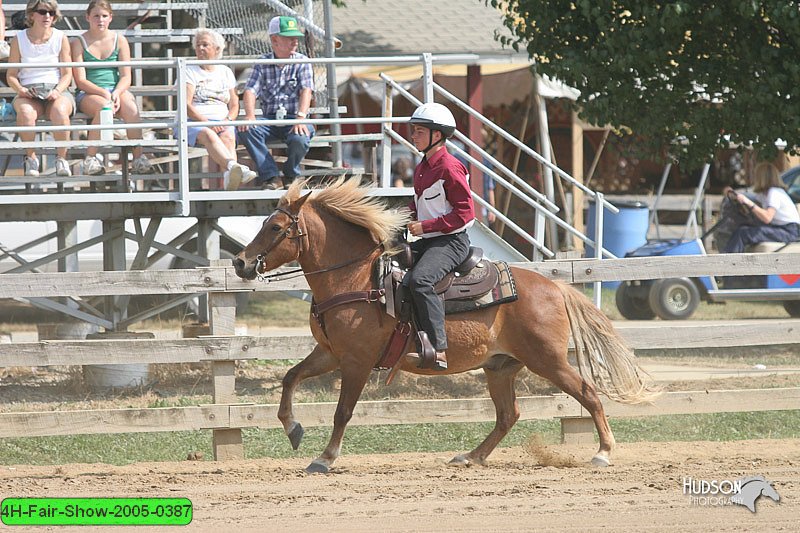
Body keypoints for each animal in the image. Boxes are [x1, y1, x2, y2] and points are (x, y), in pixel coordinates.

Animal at [231, 179, 656, 474]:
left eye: (276, 228)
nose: (240, 262)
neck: (357, 280)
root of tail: (555, 287)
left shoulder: (356, 362)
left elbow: (342, 412)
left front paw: (325, 457)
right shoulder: (331, 354)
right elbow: (290, 377)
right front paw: (293, 429)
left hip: (547, 361)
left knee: (588, 393)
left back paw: (602, 453)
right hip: (500, 367)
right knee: (508, 414)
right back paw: (471, 456)